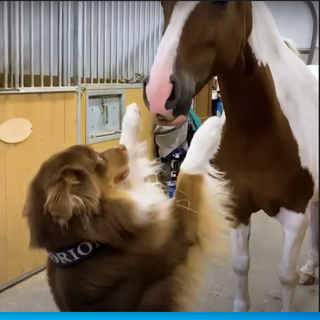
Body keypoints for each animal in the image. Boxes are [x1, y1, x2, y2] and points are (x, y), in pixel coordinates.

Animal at [23, 104, 231, 312]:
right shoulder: (175, 240)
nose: (121, 148)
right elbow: (187, 175)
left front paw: (131, 117)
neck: (91, 243)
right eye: (98, 157)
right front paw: (212, 126)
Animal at [144, 1, 318, 312]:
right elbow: (240, 265)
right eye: (165, 4)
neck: (260, 129)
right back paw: (311, 270)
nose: (159, 95)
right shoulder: (237, 208)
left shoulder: (295, 215)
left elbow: (286, 275)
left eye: (221, 3)